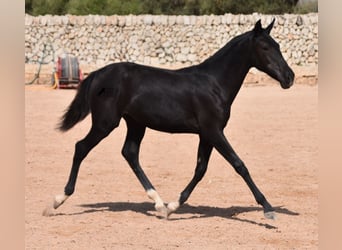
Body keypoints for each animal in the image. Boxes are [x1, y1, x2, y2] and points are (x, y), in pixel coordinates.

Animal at [43, 19, 294, 219]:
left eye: (278, 46)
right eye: (265, 47)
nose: (289, 77)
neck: (214, 83)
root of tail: (97, 75)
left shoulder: (206, 134)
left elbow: (200, 169)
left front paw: (173, 206)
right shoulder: (213, 130)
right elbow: (239, 164)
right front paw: (268, 208)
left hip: (136, 123)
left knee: (129, 153)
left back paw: (159, 204)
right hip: (106, 123)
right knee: (81, 147)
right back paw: (57, 200)